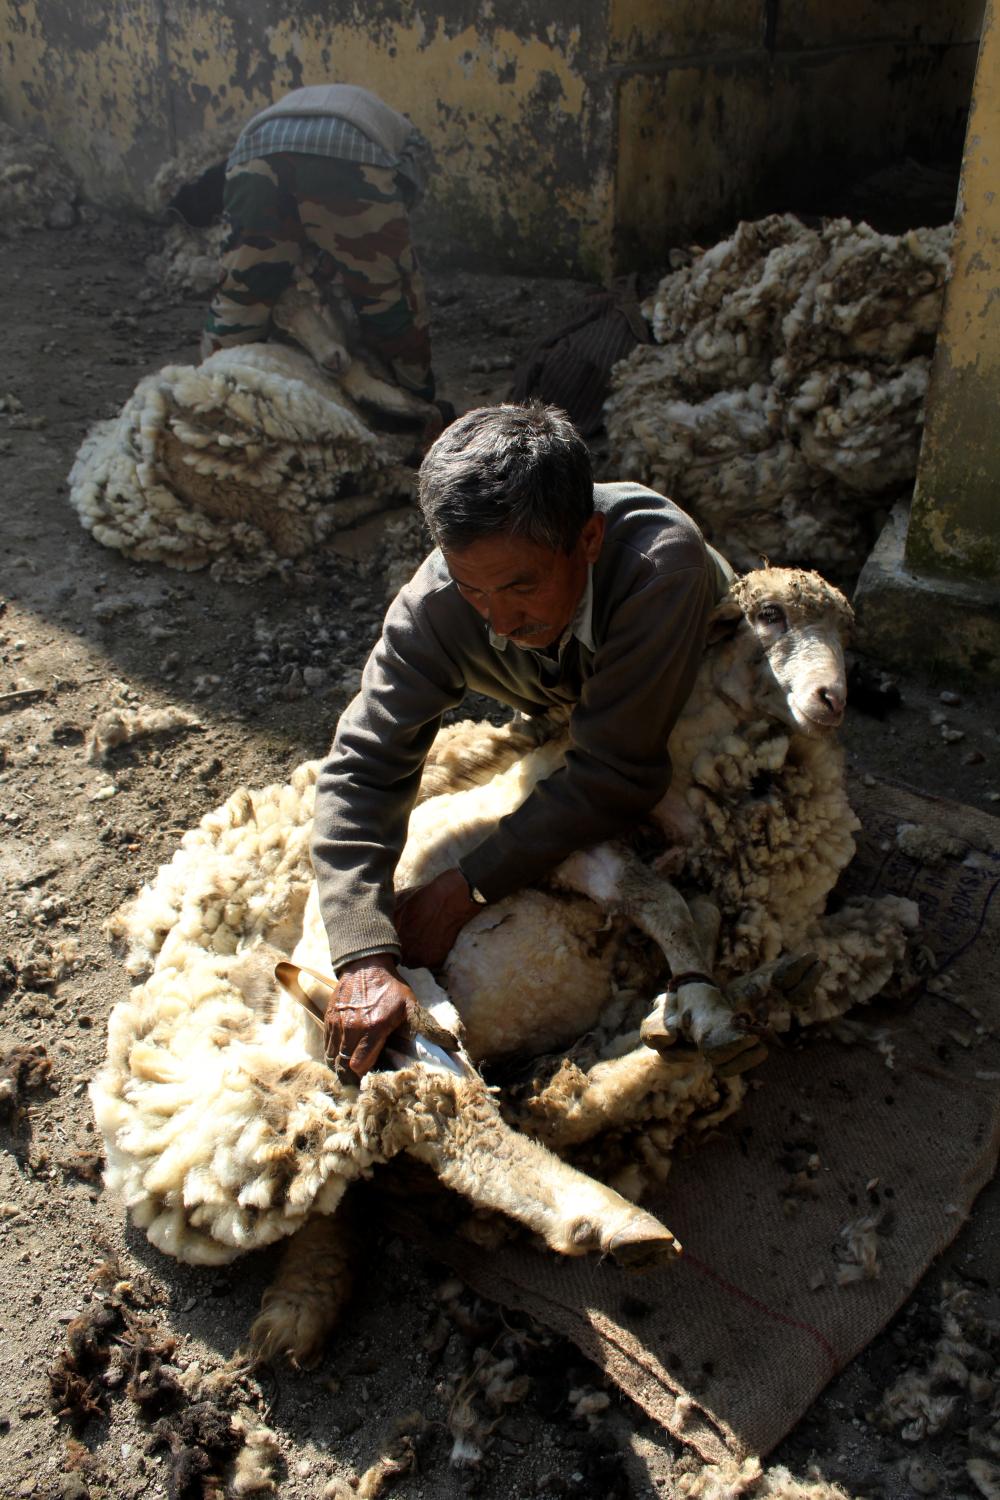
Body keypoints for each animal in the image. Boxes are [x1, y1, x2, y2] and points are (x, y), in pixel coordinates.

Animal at [92, 566, 918, 1366]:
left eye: (846, 634)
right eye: (769, 618)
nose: (830, 701)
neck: (682, 762)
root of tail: (295, 1017)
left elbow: (687, 913)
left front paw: (695, 1005)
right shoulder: (579, 845)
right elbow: (669, 906)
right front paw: (705, 1008)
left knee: (490, 1110)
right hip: (407, 1010)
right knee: (459, 1122)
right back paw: (609, 1220)